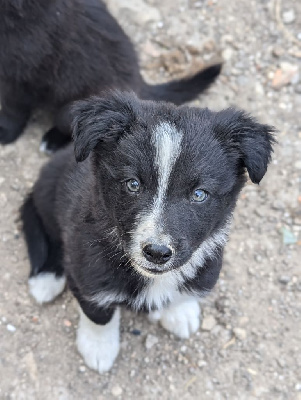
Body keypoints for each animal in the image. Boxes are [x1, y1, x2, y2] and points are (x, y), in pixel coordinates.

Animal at [0, 0, 220, 152]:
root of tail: (139, 83)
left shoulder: (20, 75)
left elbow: (13, 110)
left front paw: (6, 132)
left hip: (69, 110)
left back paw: (53, 140)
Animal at [21, 90, 274, 372]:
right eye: (133, 184)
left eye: (199, 194)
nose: (157, 252)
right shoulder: (87, 273)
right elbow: (98, 313)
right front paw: (98, 347)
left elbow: (184, 293)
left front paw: (180, 312)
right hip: (48, 196)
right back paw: (46, 278)